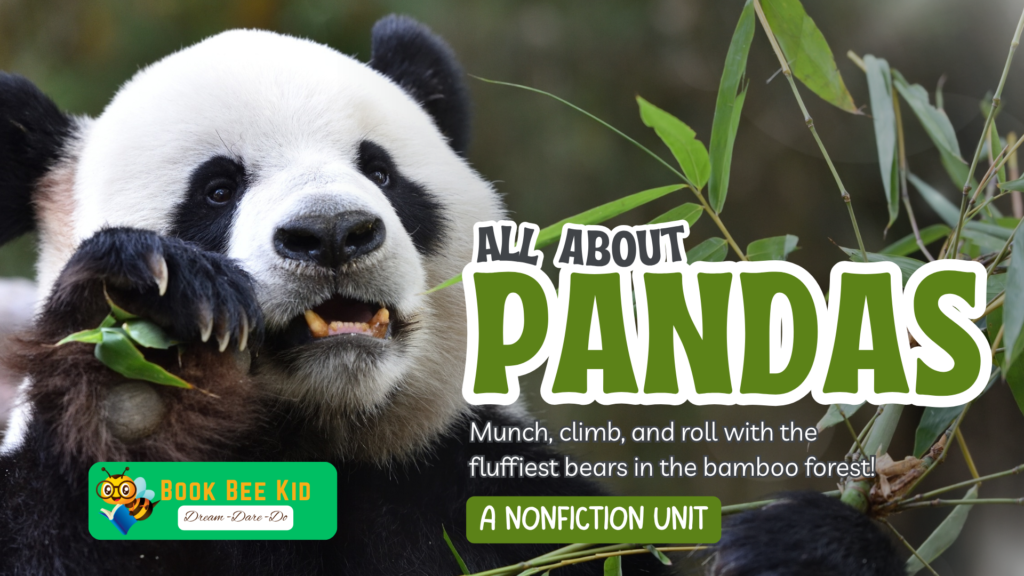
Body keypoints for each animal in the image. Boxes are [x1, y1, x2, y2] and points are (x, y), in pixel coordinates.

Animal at [0, 14, 901, 576]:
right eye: (217, 189)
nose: (332, 233)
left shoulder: (475, 486)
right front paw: (136, 367)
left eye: (380, 170)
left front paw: (803, 544)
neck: (312, 435)